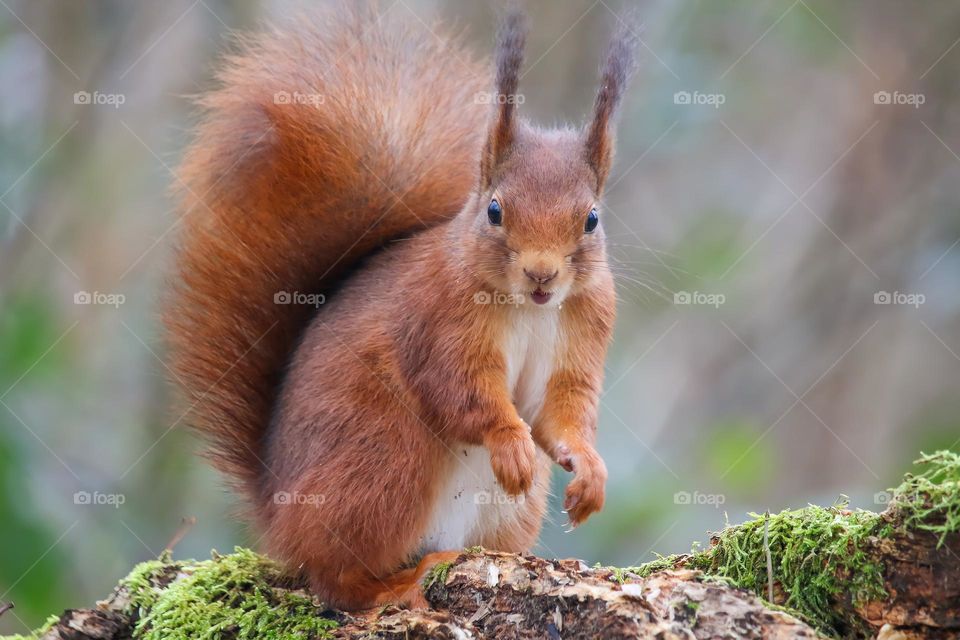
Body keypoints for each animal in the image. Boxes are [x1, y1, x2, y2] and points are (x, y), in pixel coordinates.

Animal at [167, 1, 636, 608]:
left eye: (592, 218)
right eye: (494, 210)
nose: (542, 273)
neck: (529, 308)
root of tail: (276, 515)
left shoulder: (585, 329)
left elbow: (561, 414)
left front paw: (590, 472)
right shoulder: (438, 321)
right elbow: (461, 390)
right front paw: (510, 444)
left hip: (503, 511)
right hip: (387, 461)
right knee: (334, 579)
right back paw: (396, 585)